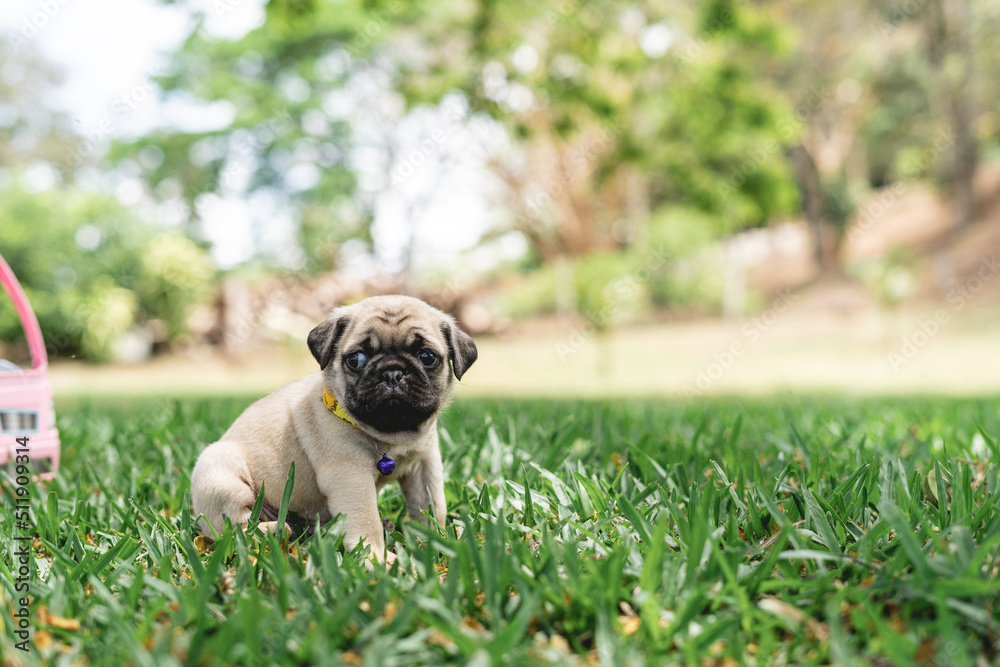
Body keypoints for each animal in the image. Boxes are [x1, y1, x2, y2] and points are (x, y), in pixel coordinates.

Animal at [194, 294, 480, 560]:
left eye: (427, 357)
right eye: (356, 359)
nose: (392, 373)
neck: (390, 437)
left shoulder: (424, 466)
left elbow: (431, 508)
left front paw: (435, 543)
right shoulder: (351, 476)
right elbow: (366, 521)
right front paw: (377, 559)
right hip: (220, 472)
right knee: (230, 528)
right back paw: (273, 529)